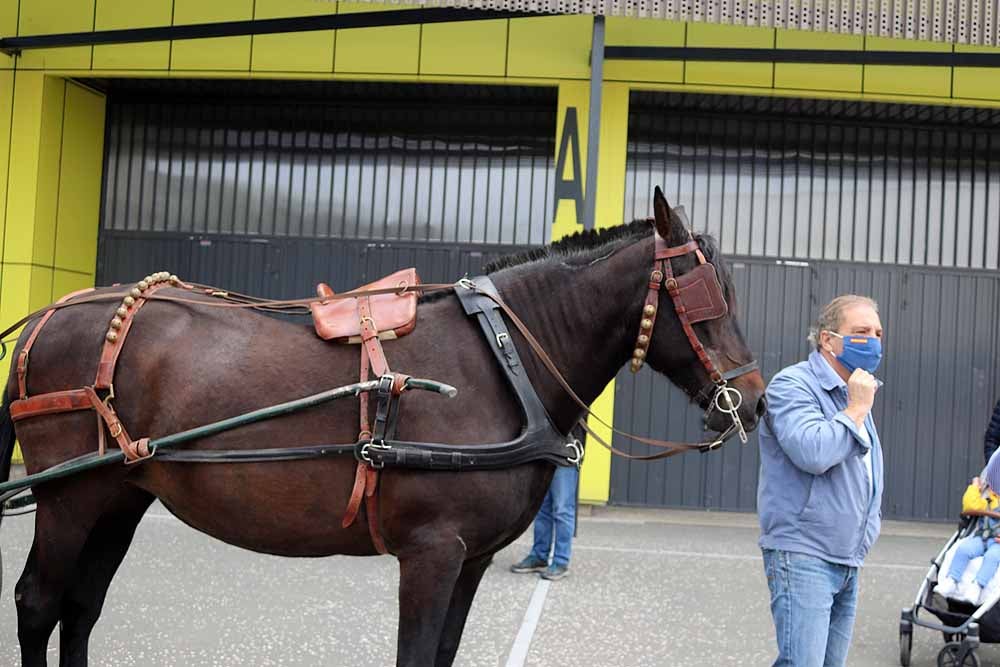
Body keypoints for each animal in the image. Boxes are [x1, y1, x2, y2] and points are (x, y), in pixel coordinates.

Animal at [0, 189, 764, 667]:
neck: (505, 356)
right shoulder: (432, 552)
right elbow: (416, 654)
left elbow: (444, 652)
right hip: (69, 498)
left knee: (81, 607)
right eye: (705, 295)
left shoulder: (470, 559)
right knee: (39, 604)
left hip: (119, 495)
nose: (752, 401)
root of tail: (48, 315)